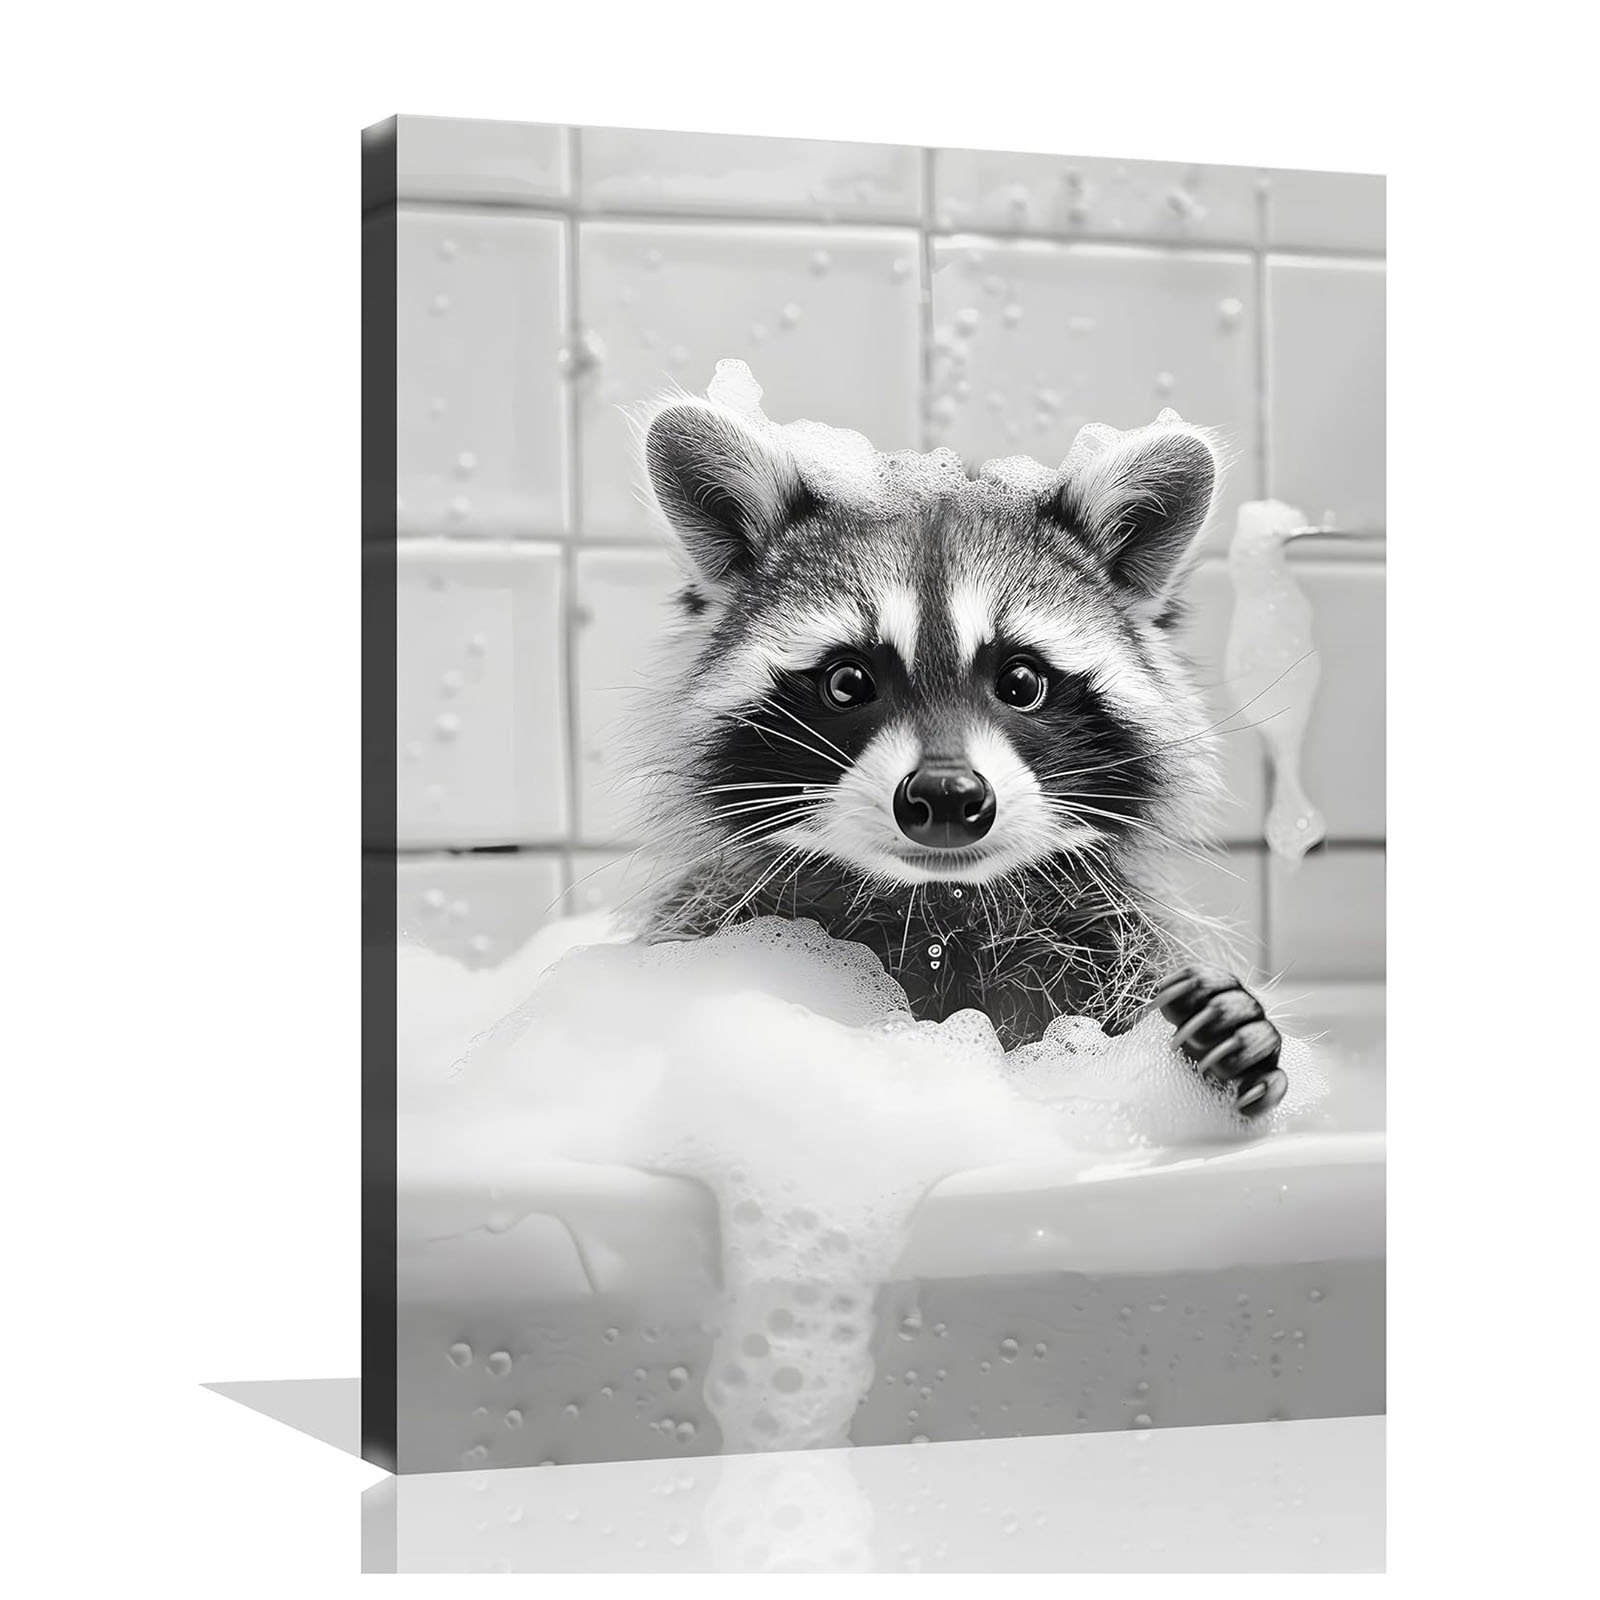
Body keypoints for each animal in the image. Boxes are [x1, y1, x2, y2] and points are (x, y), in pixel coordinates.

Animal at [619, 387, 1286, 1117]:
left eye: (1021, 682)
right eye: (848, 682)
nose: (944, 797)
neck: (939, 905)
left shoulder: (1117, 947)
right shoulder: (711, 928)